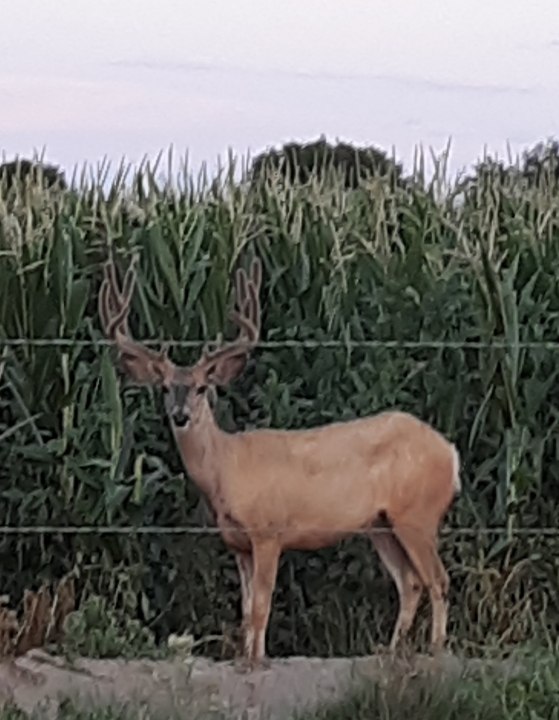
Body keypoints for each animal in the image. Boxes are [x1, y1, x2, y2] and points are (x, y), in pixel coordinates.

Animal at [98, 250, 462, 672]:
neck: (227, 468)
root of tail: (450, 453)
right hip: (381, 523)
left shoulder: (268, 531)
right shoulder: (237, 543)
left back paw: (435, 651)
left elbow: (261, 607)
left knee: (438, 580)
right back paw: (391, 652)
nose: (180, 415)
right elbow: (245, 609)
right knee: (411, 582)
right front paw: (245, 657)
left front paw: (257, 661)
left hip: (417, 514)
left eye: (202, 388)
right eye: (165, 388)